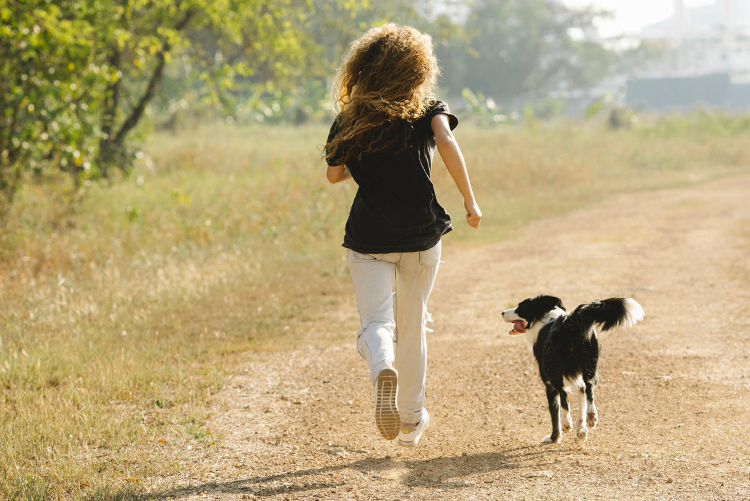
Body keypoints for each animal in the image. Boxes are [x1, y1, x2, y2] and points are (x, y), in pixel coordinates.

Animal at [502, 294, 644, 444]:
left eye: (520, 306)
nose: (502, 313)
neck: (544, 318)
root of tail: (571, 321)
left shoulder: (548, 384)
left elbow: (555, 413)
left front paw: (554, 437)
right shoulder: (578, 380)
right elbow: (582, 402)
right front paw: (581, 430)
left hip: (552, 370)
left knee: (564, 394)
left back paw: (567, 423)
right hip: (590, 366)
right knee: (589, 389)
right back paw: (591, 416)